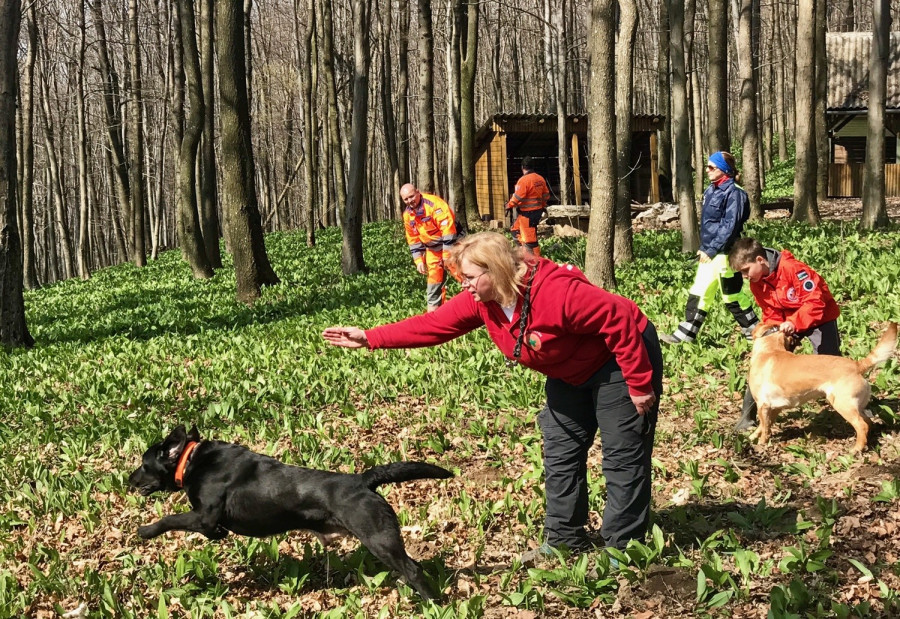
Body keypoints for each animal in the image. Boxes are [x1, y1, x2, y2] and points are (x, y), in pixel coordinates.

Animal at [128, 425, 453, 600]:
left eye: (143, 465)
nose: (129, 480)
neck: (190, 459)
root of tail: (362, 480)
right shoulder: (207, 520)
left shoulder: (203, 514)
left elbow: (170, 518)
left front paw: (145, 530)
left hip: (378, 537)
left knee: (413, 569)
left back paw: (432, 603)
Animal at [747, 321, 898, 452]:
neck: (770, 349)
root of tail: (857, 365)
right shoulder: (774, 408)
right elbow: (764, 425)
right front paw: (753, 436)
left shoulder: (762, 405)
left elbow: (764, 427)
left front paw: (761, 443)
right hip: (856, 406)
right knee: (868, 422)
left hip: (842, 405)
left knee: (862, 425)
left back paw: (856, 449)